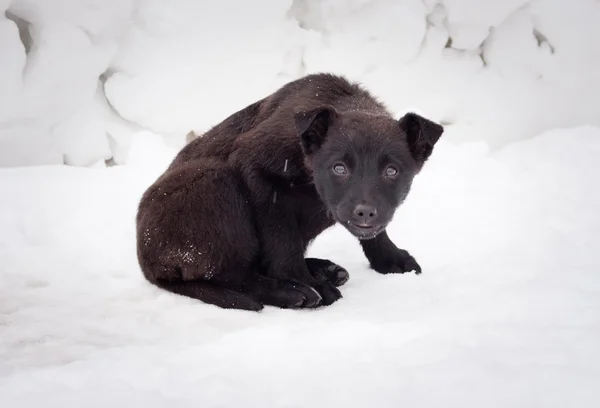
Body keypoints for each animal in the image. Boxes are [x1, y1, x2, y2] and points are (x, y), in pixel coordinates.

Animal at [137, 73, 446, 310]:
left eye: (392, 171)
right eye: (339, 168)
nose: (365, 212)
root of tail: (149, 266)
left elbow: (375, 232)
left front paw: (389, 258)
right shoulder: (258, 174)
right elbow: (282, 241)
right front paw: (303, 282)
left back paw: (324, 269)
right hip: (215, 182)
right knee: (233, 275)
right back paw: (291, 291)